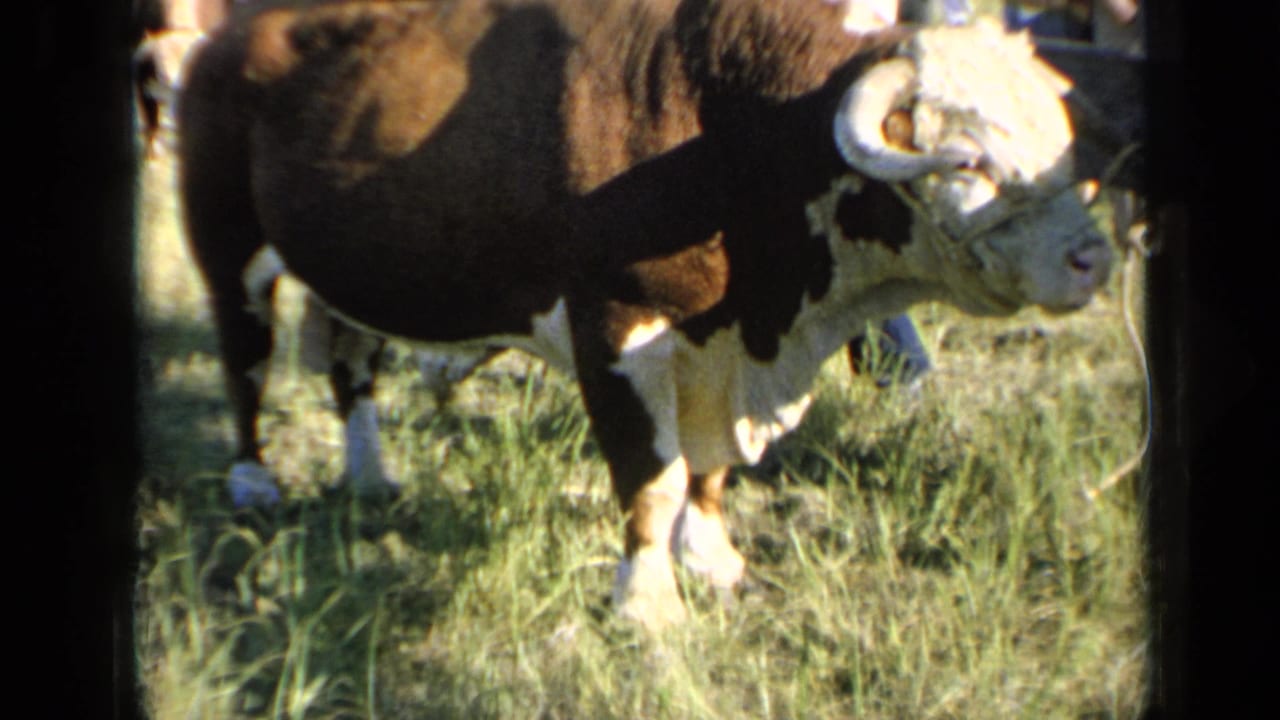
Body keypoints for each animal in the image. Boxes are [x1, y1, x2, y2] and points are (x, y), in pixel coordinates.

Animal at [178, 0, 1112, 628]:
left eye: (1060, 138)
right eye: (968, 159)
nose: (1091, 259)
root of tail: (234, 31)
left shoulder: (717, 347)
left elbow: (710, 470)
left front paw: (713, 558)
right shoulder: (617, 328)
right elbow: (652, 477)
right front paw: (647, 604)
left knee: (352, 366)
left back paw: (371, 475)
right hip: (230, 248)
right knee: (245, 358)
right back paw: (254, 479)